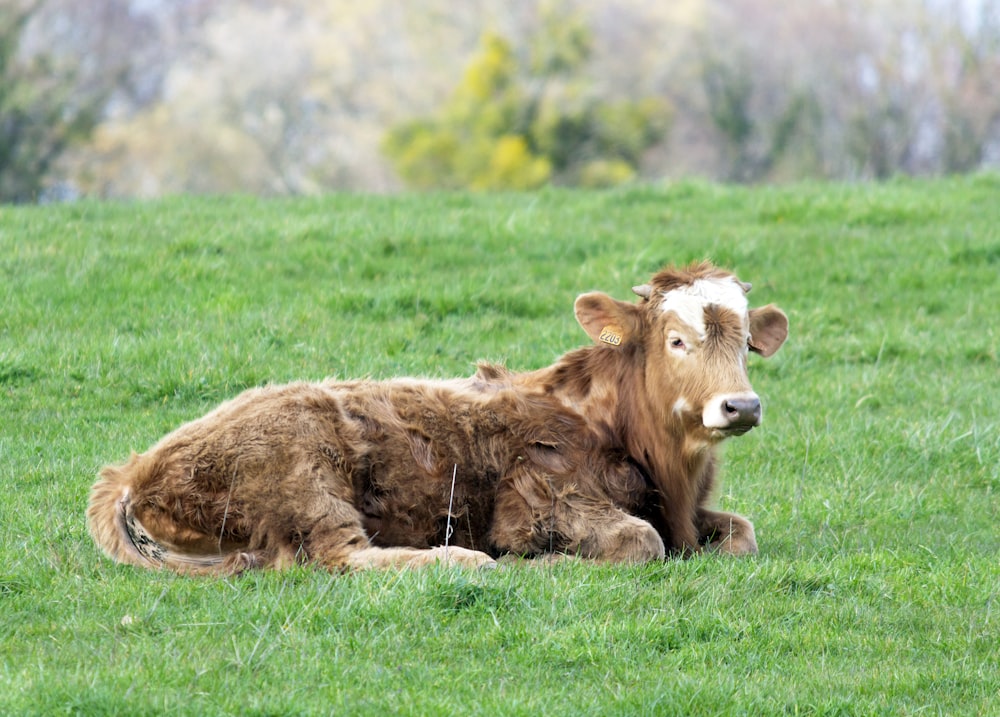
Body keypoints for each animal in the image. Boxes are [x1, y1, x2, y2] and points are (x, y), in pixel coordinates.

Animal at [88, 260, 788, 572]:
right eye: (676, 339)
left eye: (747, 343)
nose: (740, 405)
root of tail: (132, 470)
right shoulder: (542, 502)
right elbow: (640, 542)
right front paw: (543, 563)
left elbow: (743, 533)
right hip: (304, 478)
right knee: (341, 559)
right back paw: (464, 562)